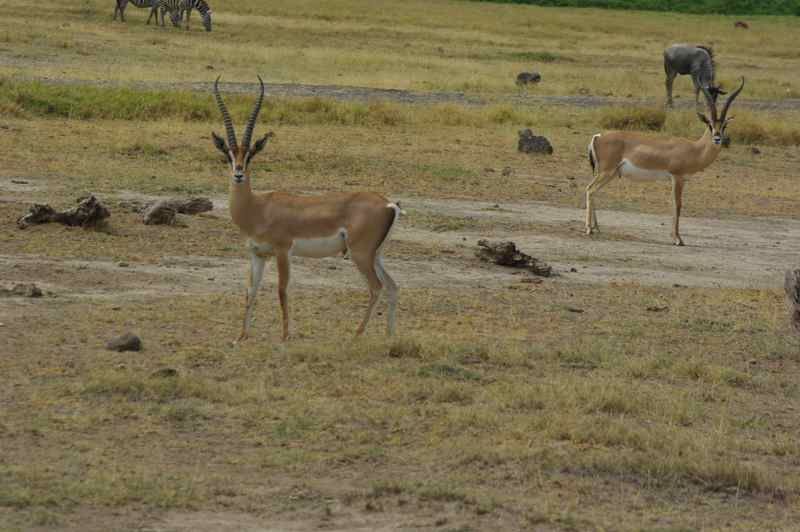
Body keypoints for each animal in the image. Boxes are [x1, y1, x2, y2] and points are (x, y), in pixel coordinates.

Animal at [211, 76, 400, 340]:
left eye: (251, 155)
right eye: (228, 154)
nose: (238, 174)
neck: (258, 209)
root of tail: (388, 203)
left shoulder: (282, 252)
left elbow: (282, 291)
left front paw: (284, 337)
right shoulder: (257, 254)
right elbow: (251, 291)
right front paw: (240, 338)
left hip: (361, 254)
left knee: (376, 287)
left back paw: (356, 335)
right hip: (376, 255)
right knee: (393, 287)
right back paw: (390, 337)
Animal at [584, 77, 748, 247]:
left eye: (724, 125)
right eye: (709, 124)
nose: (717, 138)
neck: (694, 149)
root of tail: (598, 136)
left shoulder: (679, 180)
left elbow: (674, 204)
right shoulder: (677, 177)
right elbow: (677, 204)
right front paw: (678, 239)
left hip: (610, 173)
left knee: (594, 191)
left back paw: (597, 228)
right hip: (607, 171)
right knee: (590, 189)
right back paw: (589, 228)